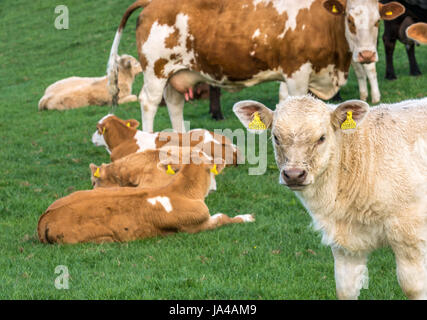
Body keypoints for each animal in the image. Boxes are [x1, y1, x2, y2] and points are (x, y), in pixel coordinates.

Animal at [107, 0, 404, 132]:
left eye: (378, 21)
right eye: (350, 20)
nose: (366, 54)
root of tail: (152, 3)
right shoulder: (297, 72)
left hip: (177, 72)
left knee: (174, 103)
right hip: (155, 70)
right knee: (149, 102)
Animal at [234, 95, 427, 300]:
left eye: (321, 138)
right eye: (276, 137)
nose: (294, 174)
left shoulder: (409, 234)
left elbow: (413, 287)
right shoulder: (344, 244)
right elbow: (345, 289)